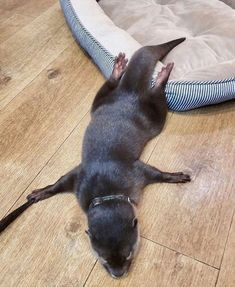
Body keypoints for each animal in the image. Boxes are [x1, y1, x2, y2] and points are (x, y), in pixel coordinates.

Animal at [0, 37, 190, 280]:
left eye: (128, 254)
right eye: (103, 259)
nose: (118, 274)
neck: (106, 190)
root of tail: (128, 92)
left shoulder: (134, 172)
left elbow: (155, 172)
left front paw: (177, 176)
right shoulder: (79, 177)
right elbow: (59, 182)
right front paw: (40, 192)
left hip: (155, 116)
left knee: (157, 95)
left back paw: (162, 75)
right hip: (99, 101)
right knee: (109, 86)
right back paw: (119, 69)